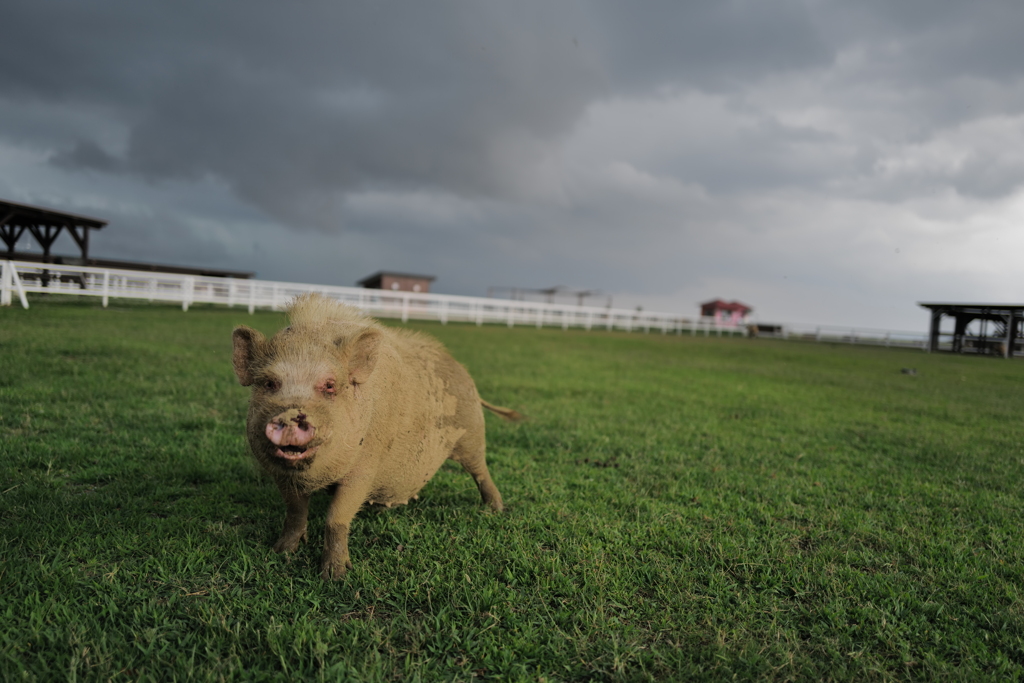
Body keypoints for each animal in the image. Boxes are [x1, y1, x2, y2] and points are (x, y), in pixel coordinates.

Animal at [234, 292, 520, 577]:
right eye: (269, 383)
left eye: (330, 385)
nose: (291, 414)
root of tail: (464, 373)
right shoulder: (282, 475)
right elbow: (294, 512)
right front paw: (279, 552)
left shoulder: (364, 467)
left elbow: (336, 517)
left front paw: (335, 575)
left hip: (472, 434)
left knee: (481, 472)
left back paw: (496, 510)